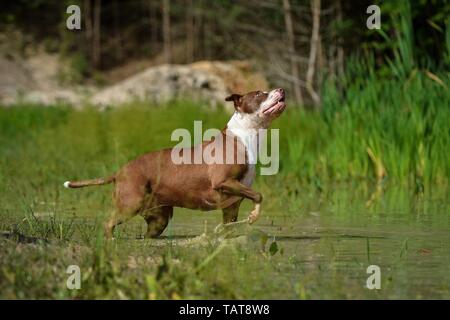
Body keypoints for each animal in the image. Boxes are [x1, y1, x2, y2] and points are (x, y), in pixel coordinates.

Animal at [63, 87, 284, 238]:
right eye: (259, 94)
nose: (281, 89)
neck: (245, 135)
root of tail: (120, 172)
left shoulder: (232, 205)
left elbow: (230, 225)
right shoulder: (224, 182)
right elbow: (259, 195)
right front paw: (253, 216)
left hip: (158, 219)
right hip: (130, 204)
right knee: (108, 224)